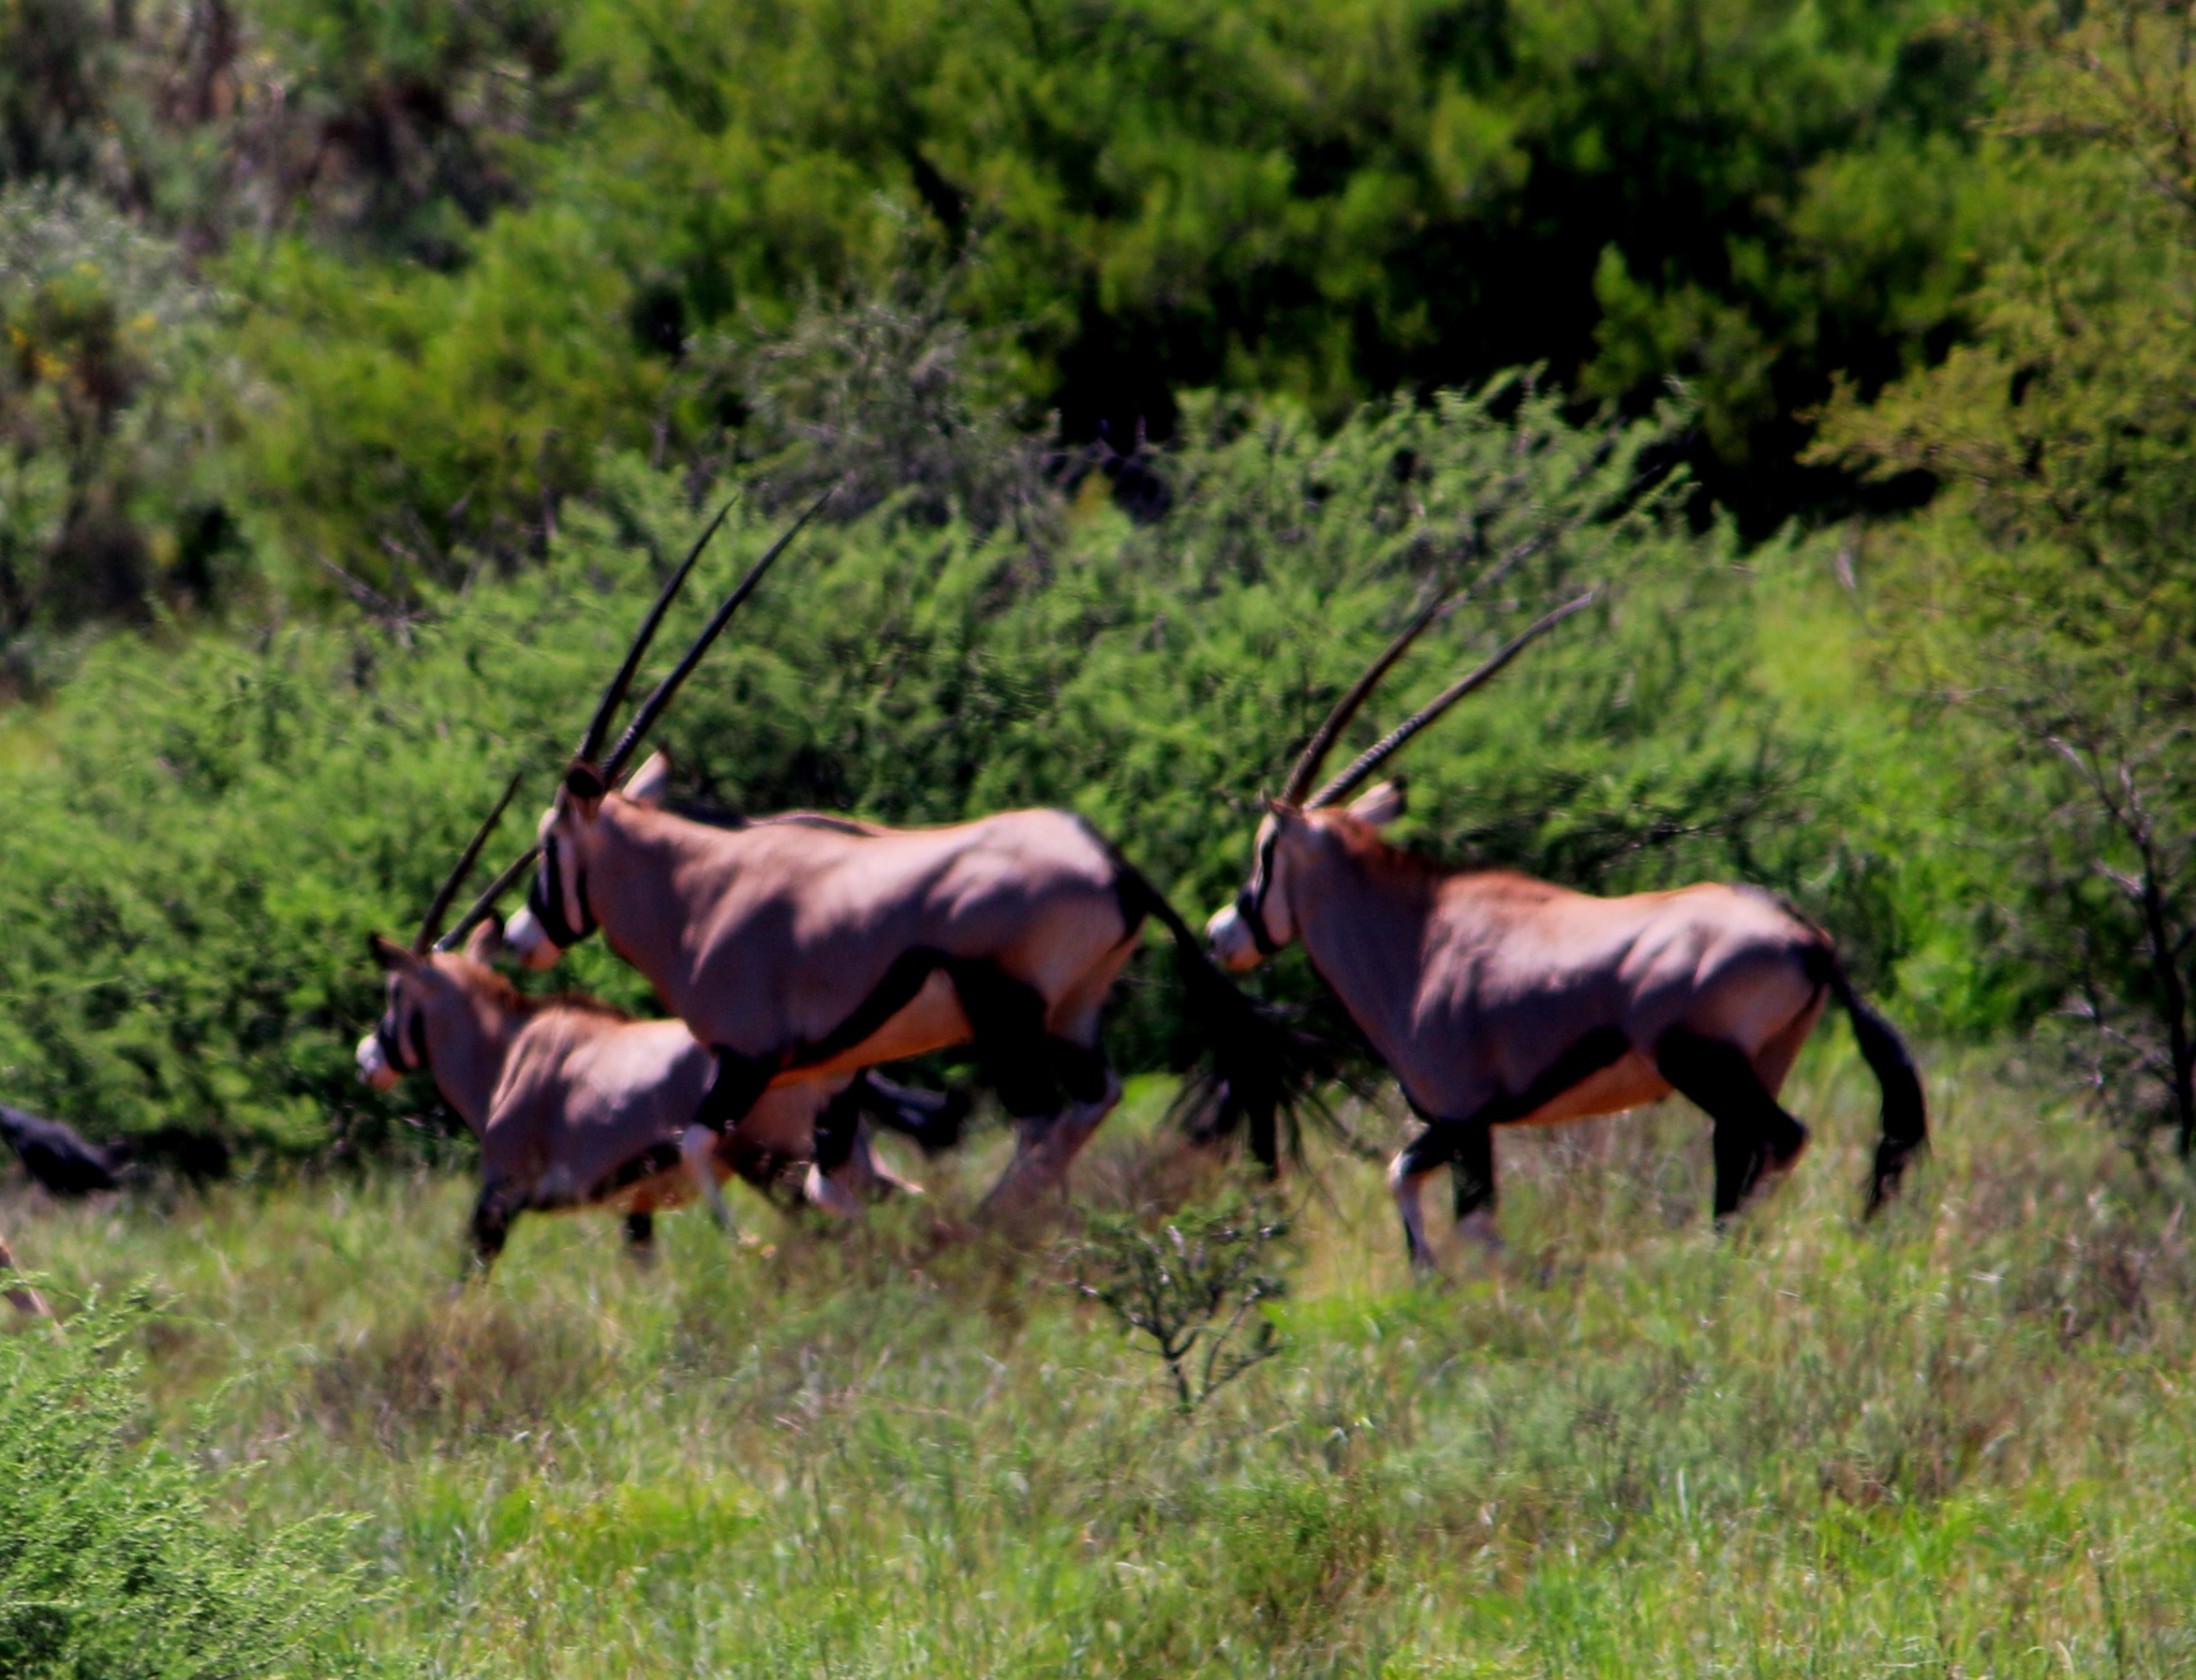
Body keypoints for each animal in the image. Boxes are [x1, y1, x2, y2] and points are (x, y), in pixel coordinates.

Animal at [1203, 597, 1923, 1265]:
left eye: (1265, 853)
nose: (1219, 936)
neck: (1418, 937)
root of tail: (1810, 941)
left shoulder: (1462, 1117)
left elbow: (1463, 1218)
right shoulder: (1457, 1123)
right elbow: (1409, 1181)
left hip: (1699, 1062)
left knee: (1779, 1140)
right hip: (1756, 1067)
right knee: (1738, 1161)